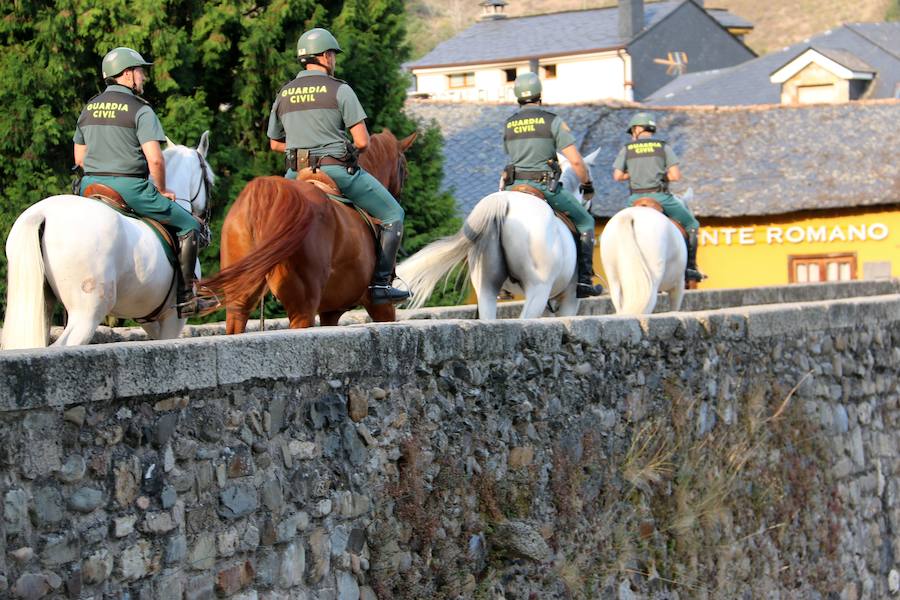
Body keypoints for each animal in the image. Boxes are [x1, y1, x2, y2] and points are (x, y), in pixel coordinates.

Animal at [2, 131, 214, 346]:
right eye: (210, 182)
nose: (206, 232)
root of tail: (42, 214)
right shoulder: (171, 320)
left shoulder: (150, 319)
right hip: (87, 313)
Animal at [400, 148, 596, 322]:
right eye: (583, 188)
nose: (589, 203)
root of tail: (503, 202)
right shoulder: (570, 299)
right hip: (539, 289)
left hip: (486, 288)